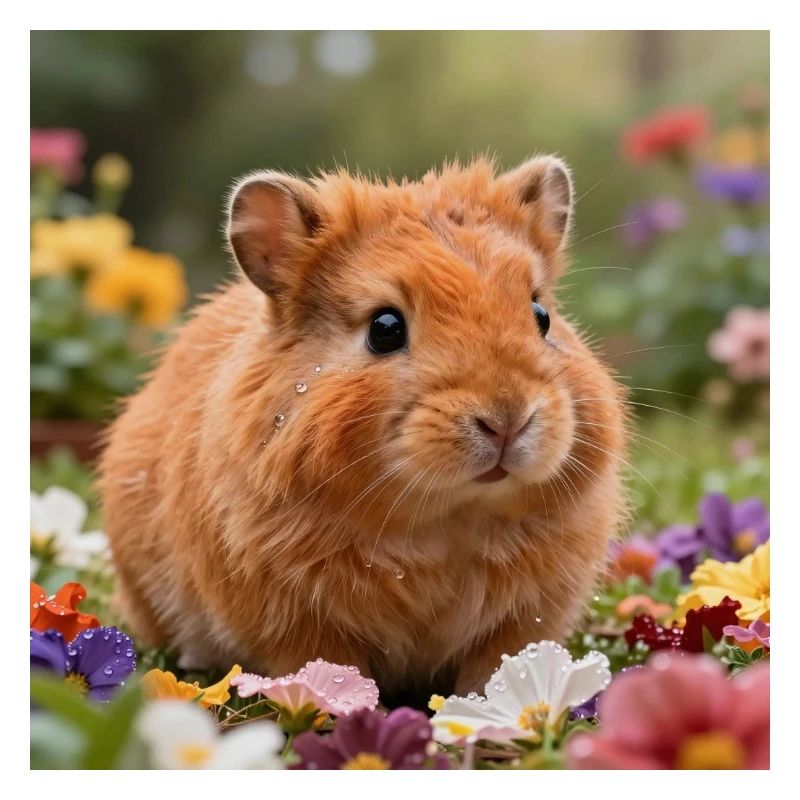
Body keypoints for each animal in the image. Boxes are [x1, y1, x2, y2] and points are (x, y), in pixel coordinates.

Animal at [99, 156, 626, 695]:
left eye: (541, 316)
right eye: (384, 328)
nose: (507, 419)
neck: (444, 519)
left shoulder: (521, 622)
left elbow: (496, 667)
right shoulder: (300, 625)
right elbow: (329, 664)